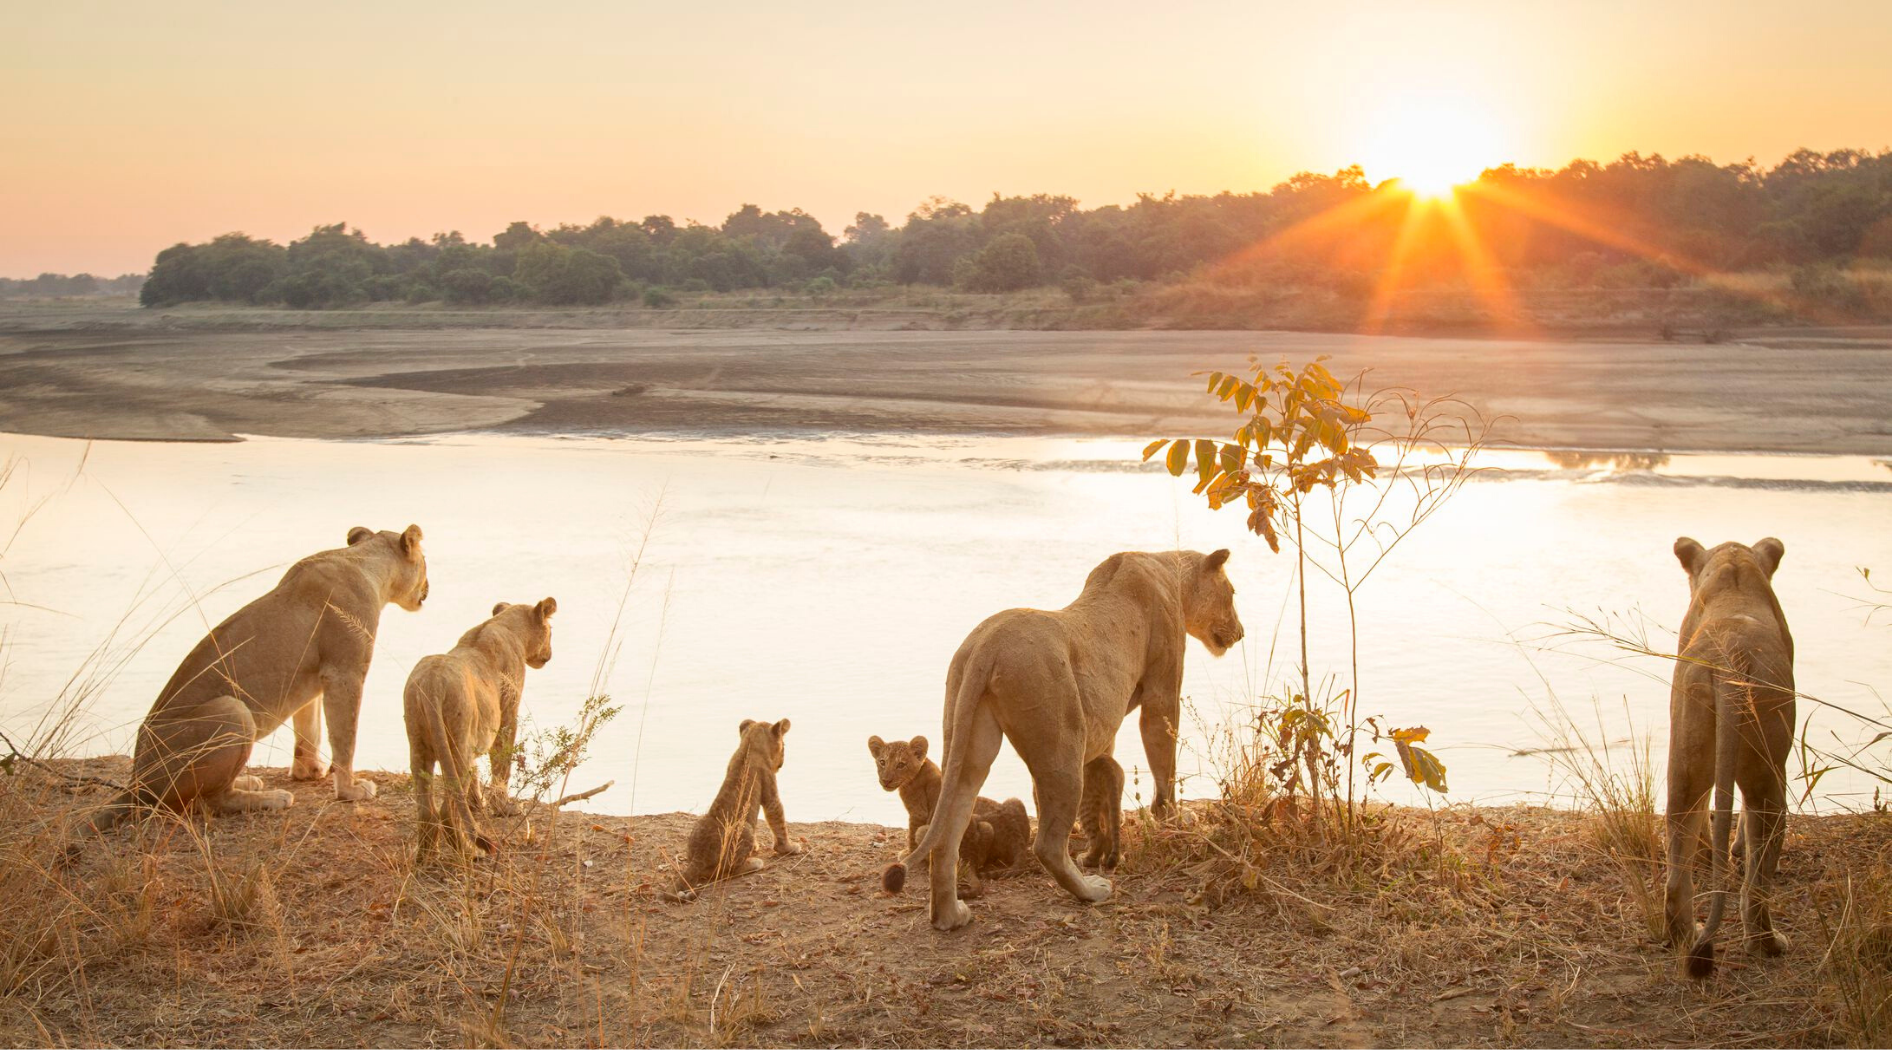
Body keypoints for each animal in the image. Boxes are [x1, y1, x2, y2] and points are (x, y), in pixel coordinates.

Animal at [82, 525, 429, 833]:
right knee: (211, 802)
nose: (430, 588)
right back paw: (271, 798)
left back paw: (249, 780)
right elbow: (345, 737)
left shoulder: (314, 679)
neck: (364, 562)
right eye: (425, 562)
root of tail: (135, 781)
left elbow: (309, 729)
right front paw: (350, 791)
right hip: (233, 711)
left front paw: (308, 772)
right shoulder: (345, 672)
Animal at [405, 598, 556, 862]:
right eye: (551, 630)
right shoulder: (508, 712)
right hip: (457, 745)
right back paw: (469, 852)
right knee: (447, 809)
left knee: (426, 809)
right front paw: (504, 807)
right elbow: (502, 762)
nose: (550, 653)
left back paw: (426, 856)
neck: (504, 625)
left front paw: (477, 803)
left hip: (419, 744)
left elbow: (477, 770)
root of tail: (432, 683)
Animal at [670, 718, 804, 900]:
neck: (749, 744)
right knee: (729, 871)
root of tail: (699, 857)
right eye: (784, 745)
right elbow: (778, 820)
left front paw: (756, 846)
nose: (782, 762)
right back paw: (753, 863)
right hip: (743, 828)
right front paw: (789, 848)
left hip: (700, 823)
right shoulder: (770, 790)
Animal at [885, 548, 1243, 931]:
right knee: (1047, 844)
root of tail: (986, 644)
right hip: (1063, 744)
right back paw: (1093, 891)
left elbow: (1107, 780)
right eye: (1232, 592)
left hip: (969, 741)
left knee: (948, 835)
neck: (1167, 569)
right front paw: (1173, 818)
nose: (1241, 633)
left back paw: (950, 916)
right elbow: (1164, 758)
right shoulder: (1162, 689)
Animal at [1664, 537, 1795, 978]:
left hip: (1685, 760)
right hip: (1768, 771)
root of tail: (1729, 661)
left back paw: (1686, 940)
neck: (1734, 575)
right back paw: (1767, 943)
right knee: (1758, 876)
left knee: (1677, 862)